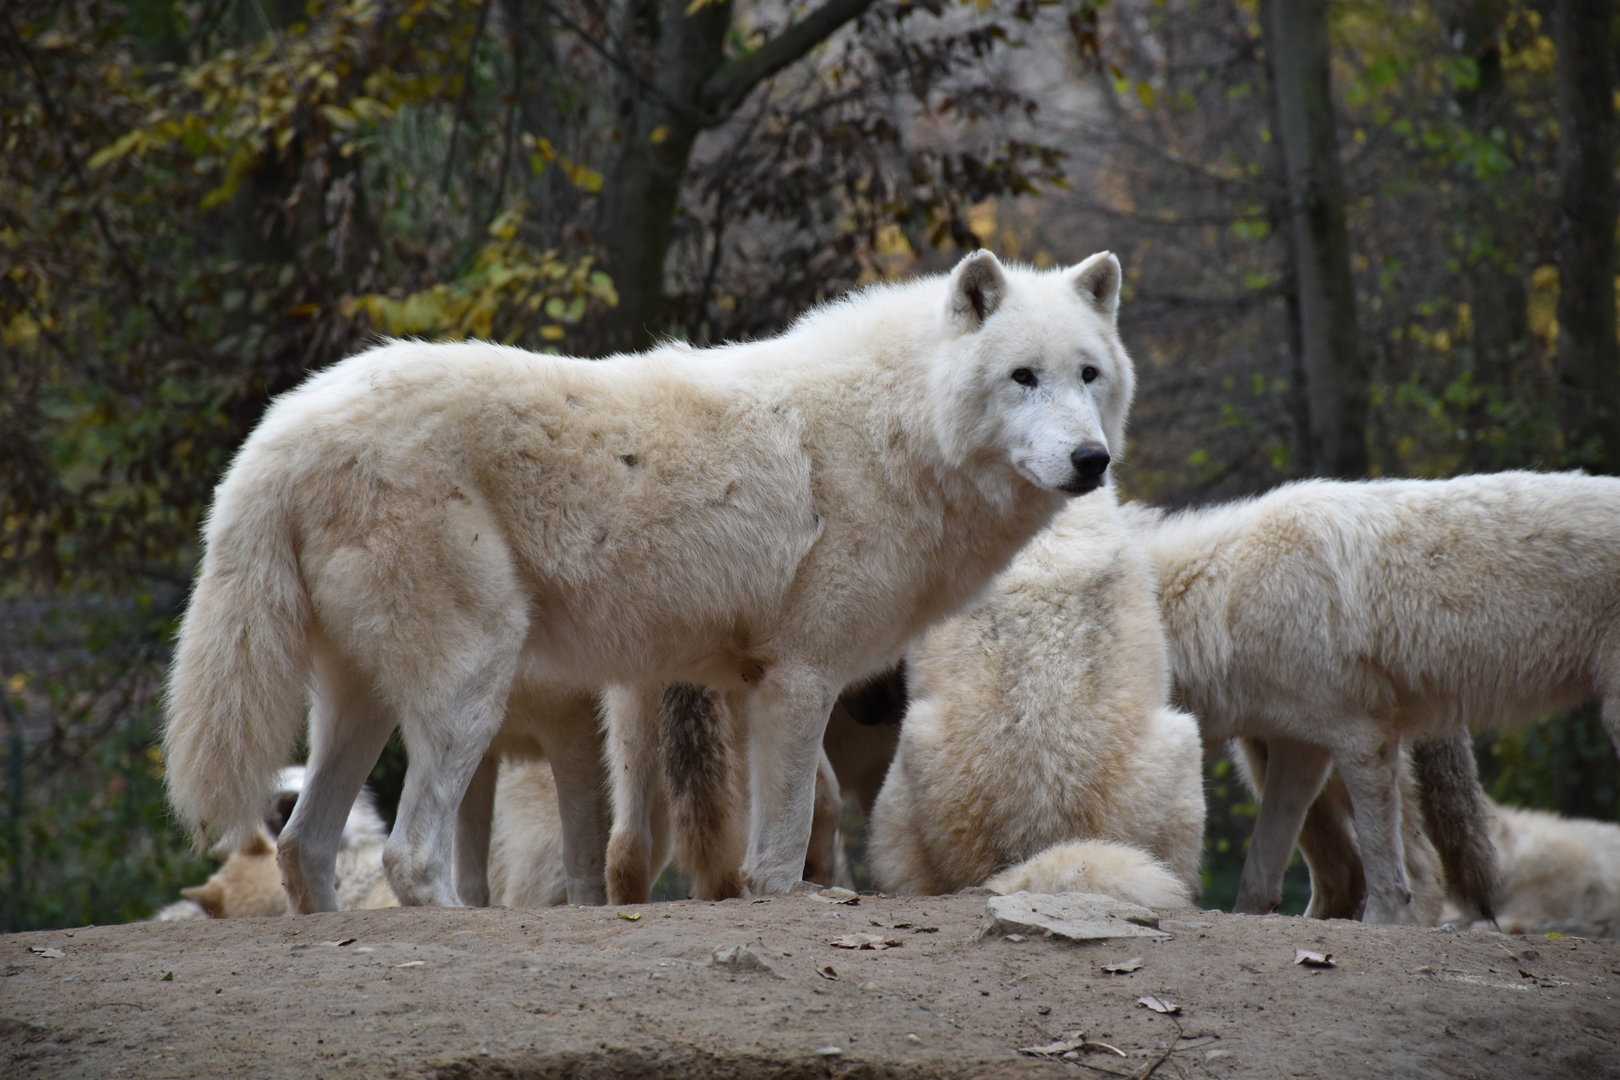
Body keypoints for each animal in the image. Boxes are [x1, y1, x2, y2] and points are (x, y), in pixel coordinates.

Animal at [164, 249, 1134, 911]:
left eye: (1088, 375)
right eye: (1022, 378)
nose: (1092, 460)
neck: (896, 430)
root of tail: (281, 428)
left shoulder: (754, 685)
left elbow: (784, 834)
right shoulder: (803, 678)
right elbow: (782, 848)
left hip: (361, 704)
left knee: (305, 846)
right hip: (467, 688)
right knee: (411, 855)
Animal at [1135, 471, 1620, 924]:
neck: (1230, 597)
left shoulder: (1362, 738)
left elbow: (1383, 869)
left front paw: (1381, 924)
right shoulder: (1299, 749)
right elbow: (1260, 871)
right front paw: (1248, 916)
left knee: (1420, 869)